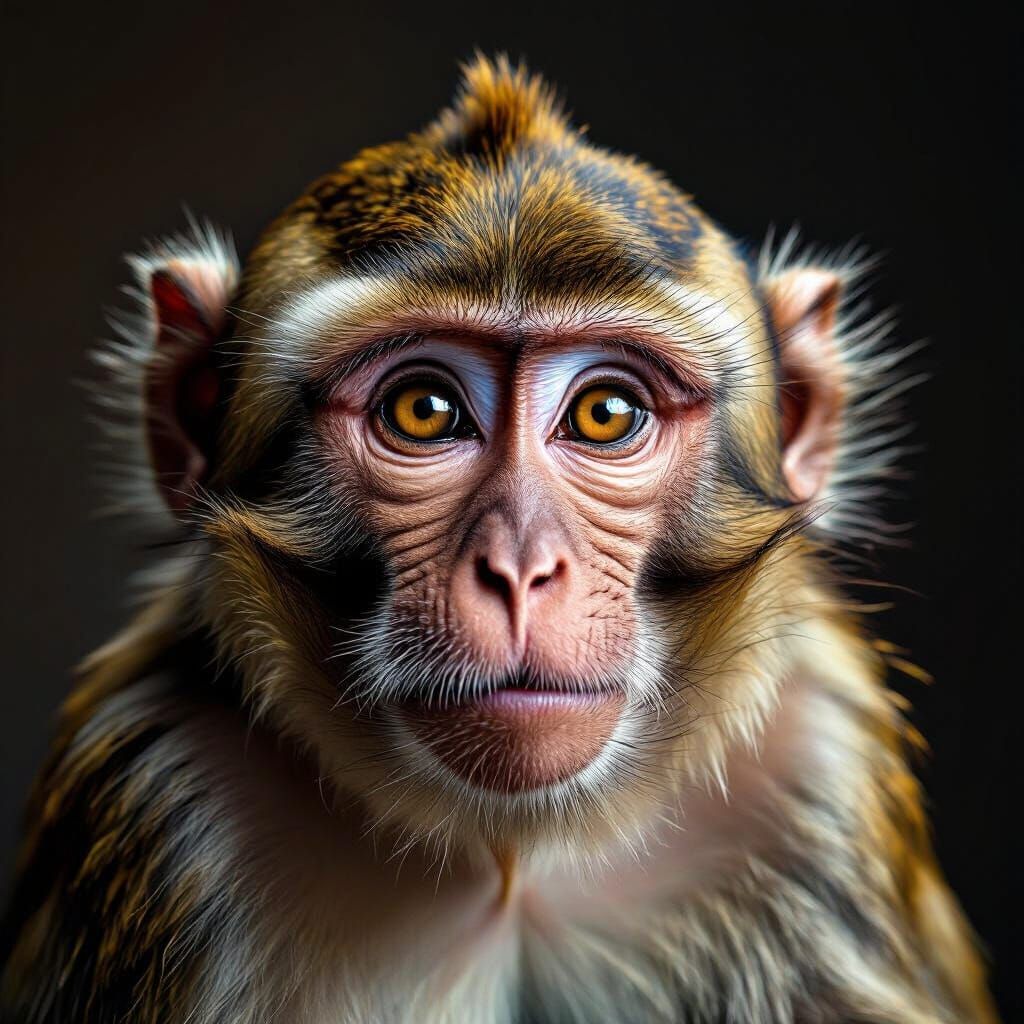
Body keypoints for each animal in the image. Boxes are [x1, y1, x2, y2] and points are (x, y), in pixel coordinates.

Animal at [0, 55, 999, 1024]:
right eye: (424, 409)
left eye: (606, 413)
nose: (520, 570)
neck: (514, 859)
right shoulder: (157, 791)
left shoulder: (822, 780)